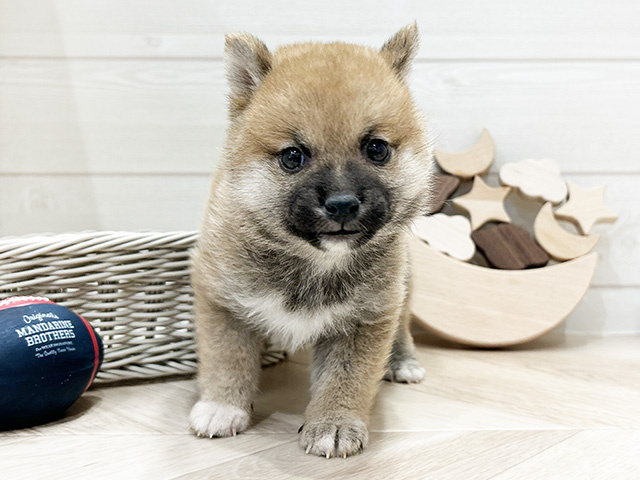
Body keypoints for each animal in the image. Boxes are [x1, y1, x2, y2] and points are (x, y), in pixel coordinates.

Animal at [188, 22, 432, 458]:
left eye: (376, 149)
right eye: (292, 157)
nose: (342, 204)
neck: (313, 263)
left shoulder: (367, 319)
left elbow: (345, 379)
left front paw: (333, 423)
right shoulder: (221, 301)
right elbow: (226, 359)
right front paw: (222, 406)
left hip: (403, 290)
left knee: (403, 327)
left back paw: (402, 361)